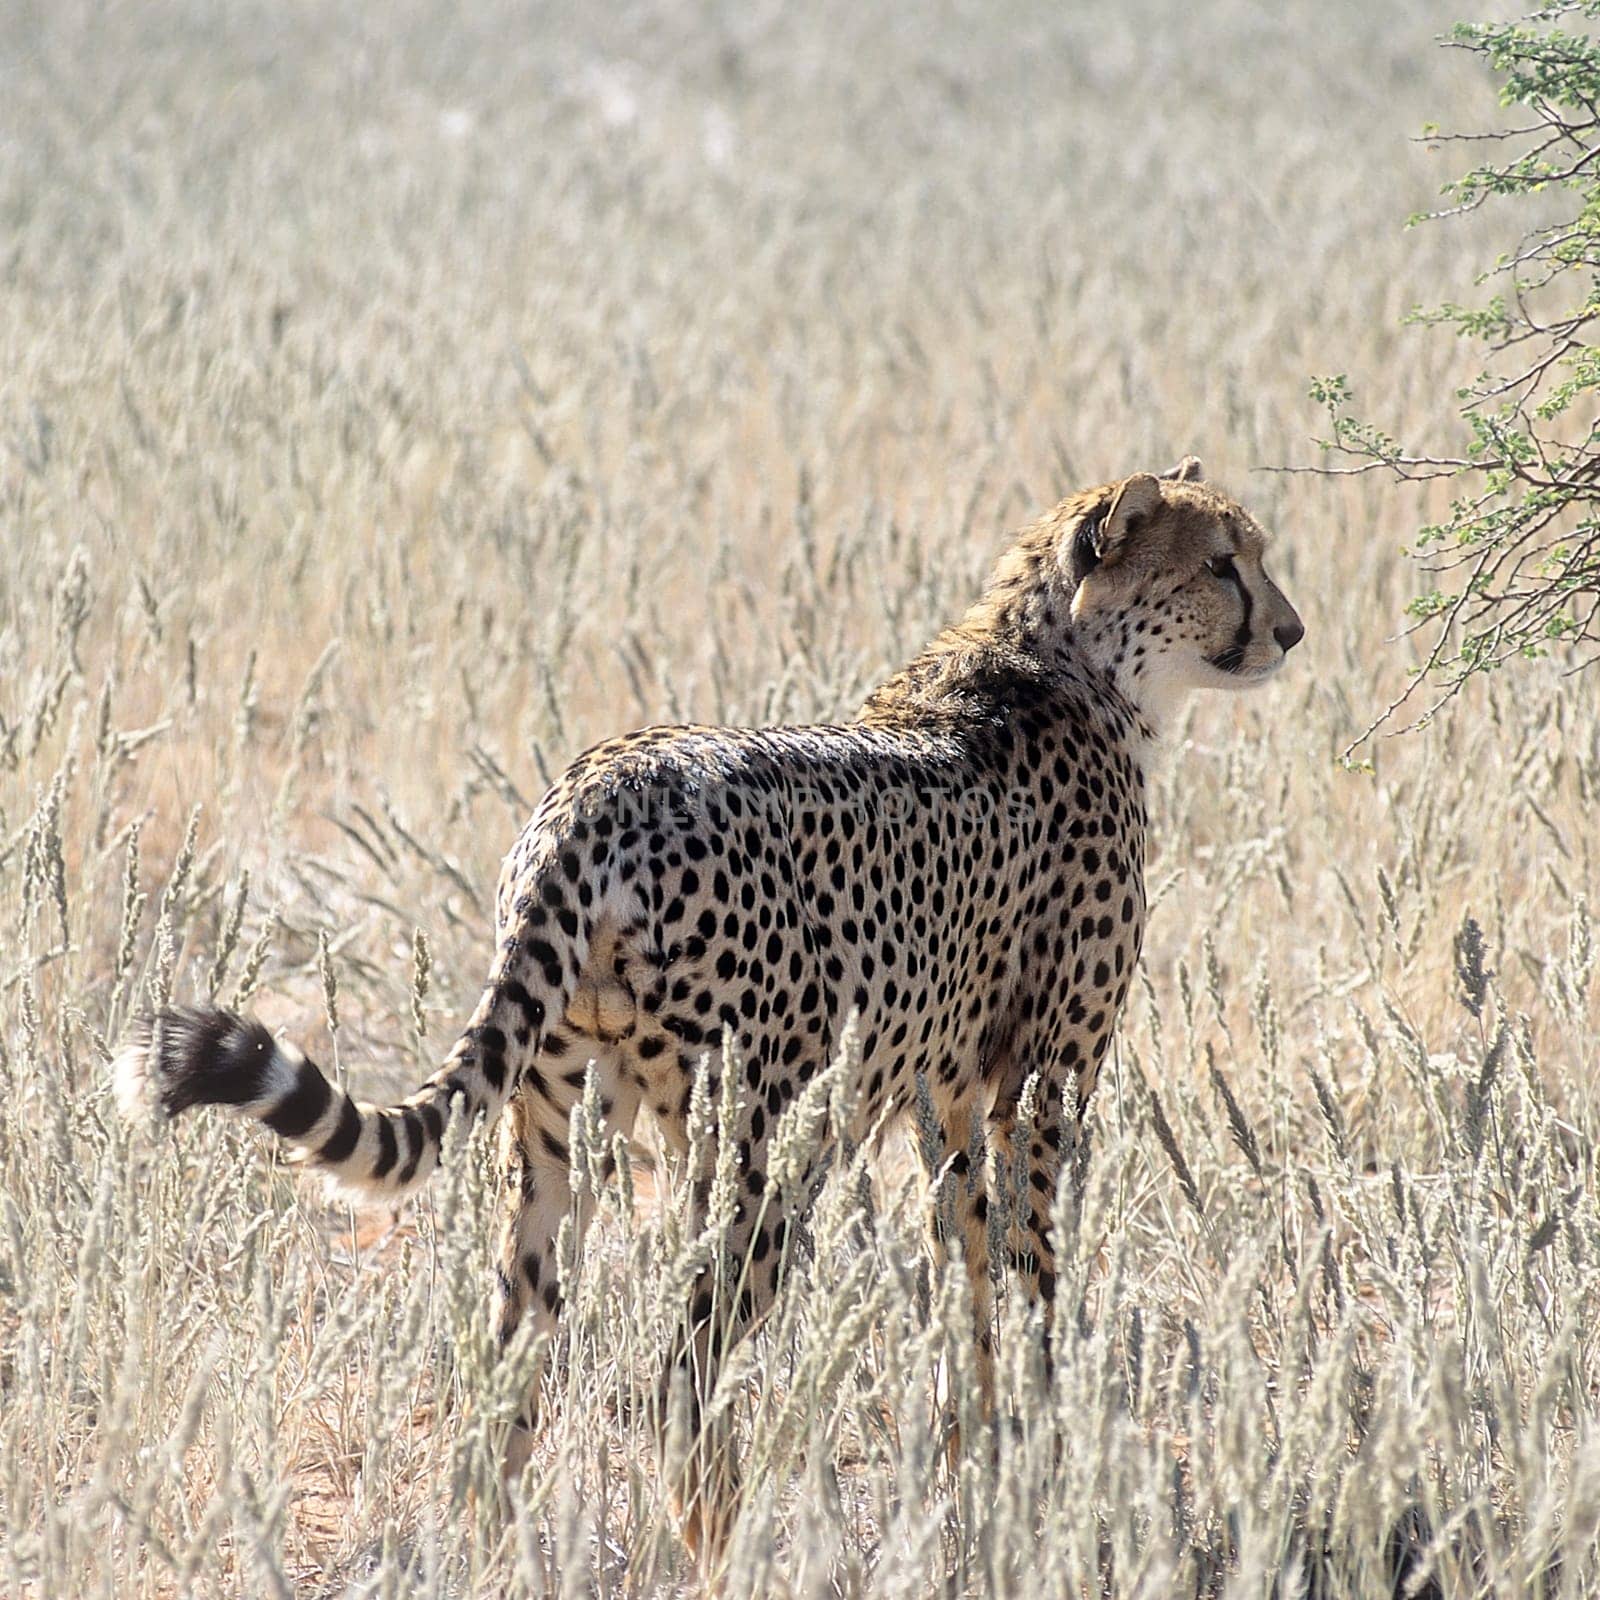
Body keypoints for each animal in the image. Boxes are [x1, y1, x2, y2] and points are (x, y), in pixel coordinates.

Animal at [121, 464, 1299, 1548]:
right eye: (1220, 564)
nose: (1288, 631)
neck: (1062, 655)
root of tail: (596, 790)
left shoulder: (948, 1084)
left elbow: (965, 1258)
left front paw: (982, 1455)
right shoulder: (1046, 1077)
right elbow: (1033, 1264)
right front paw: (1052, 1455)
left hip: (561, 1123)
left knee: (515, 1353)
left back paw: (492, 1541)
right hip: (758, 1141)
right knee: (678, 1376)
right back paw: (723, 1538)